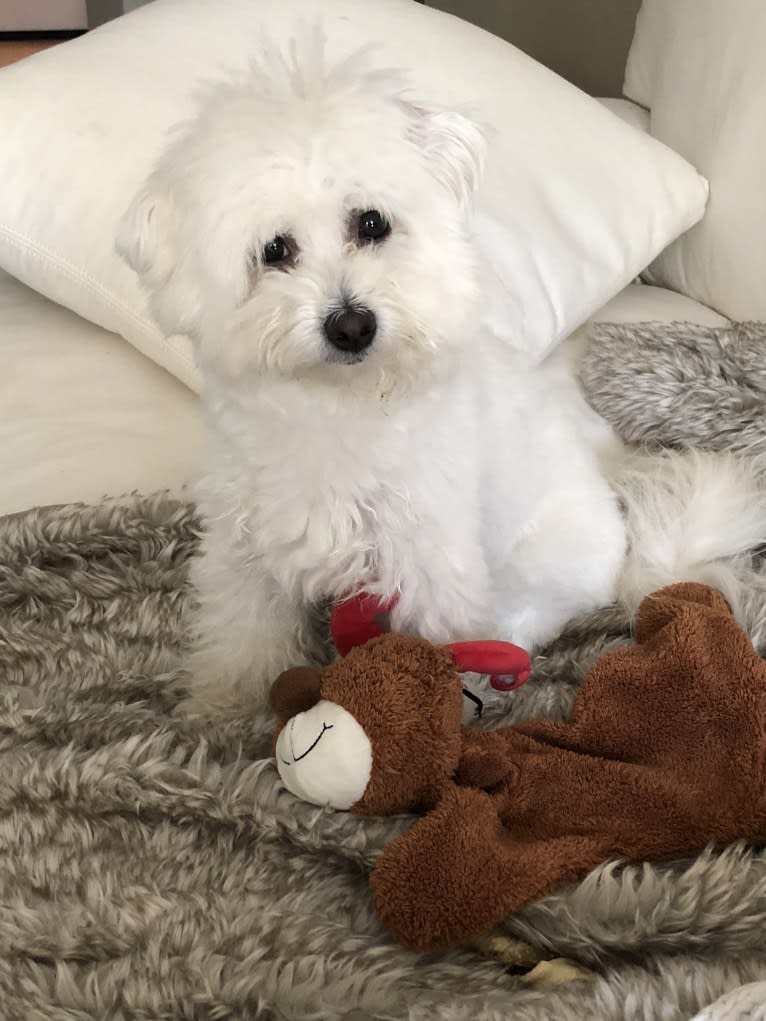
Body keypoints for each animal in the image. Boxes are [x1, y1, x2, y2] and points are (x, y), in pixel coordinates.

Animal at [118, 39, 766, 710]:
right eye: (275, 251)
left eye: (371, 223)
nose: (352, 325)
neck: (342, 403)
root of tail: (632, 561)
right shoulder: (247, 550)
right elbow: (242, 639)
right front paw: (222, 711)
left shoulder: (429, 558)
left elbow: (433, 641)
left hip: (530, 576)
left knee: (519, 626)